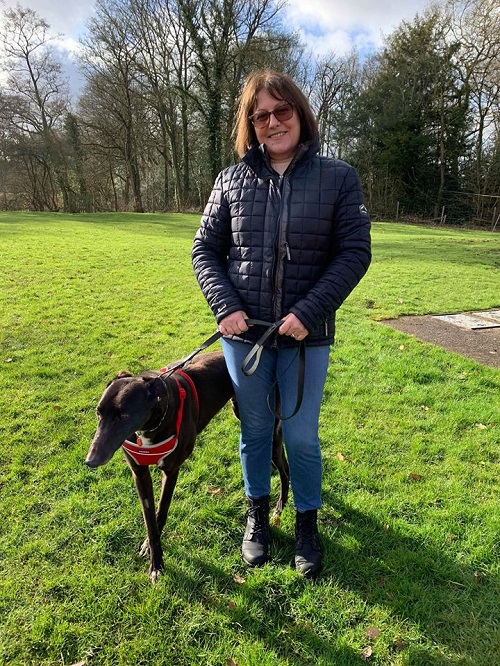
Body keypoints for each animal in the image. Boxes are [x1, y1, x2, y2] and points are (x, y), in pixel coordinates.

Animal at [86, 350, 290, 580]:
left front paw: (157, 566)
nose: (91, 460)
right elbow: (150, 520)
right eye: (98, 412)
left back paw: (280, 507)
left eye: (123, 415)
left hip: (270, 432)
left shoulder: (171, 470)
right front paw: (151, 551)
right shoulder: (139, 472)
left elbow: (161, 512)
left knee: (286, 470)